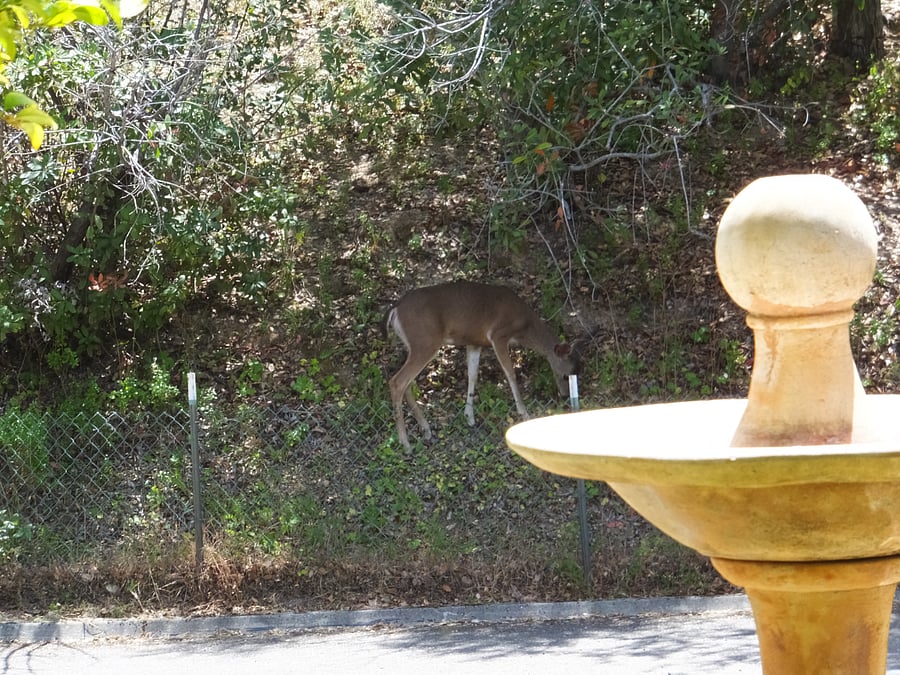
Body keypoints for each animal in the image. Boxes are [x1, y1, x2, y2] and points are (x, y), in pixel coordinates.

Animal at [385, 280, 578, 449]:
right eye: (567, 374)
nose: (565, 395)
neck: (524, 327)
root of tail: (395, 309)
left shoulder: (475, 342)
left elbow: (472, 375)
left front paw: (469, 417)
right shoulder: (499, 334)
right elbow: (510, 373)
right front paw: (523, 412)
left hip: (414, 345)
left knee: (407, 383)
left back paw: (426, 429)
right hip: (425, 342)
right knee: (397, 381)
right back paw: (405, 443)